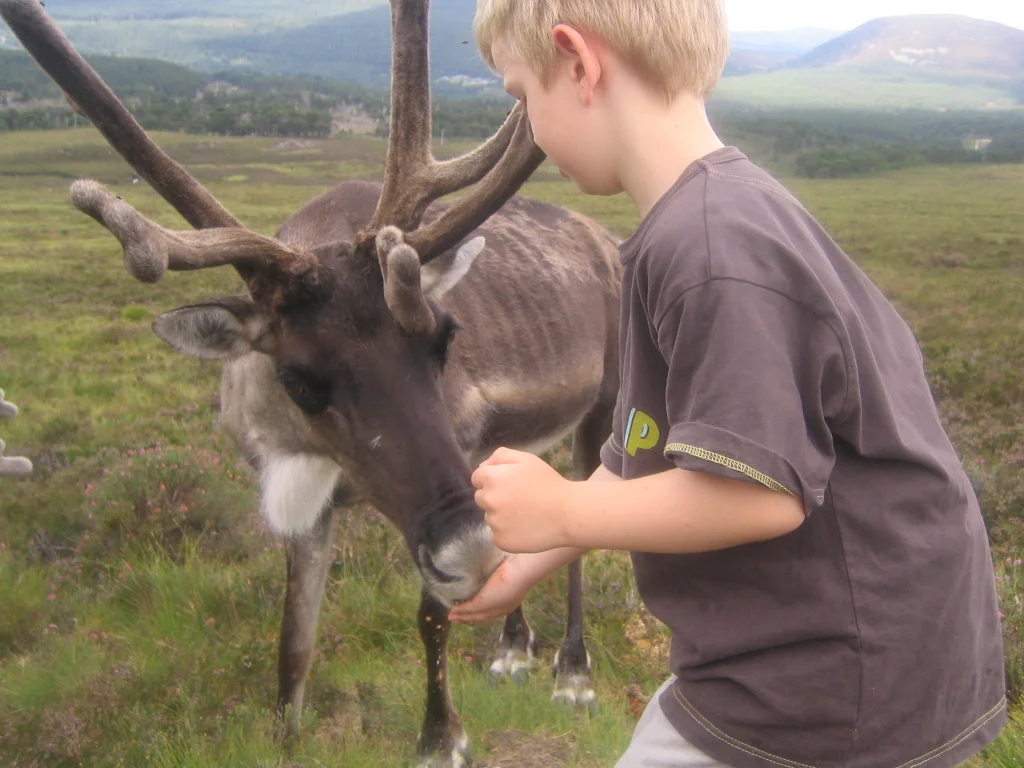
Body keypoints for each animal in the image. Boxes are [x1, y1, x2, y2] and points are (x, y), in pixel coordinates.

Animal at [0, 1, 623, 765]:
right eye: (296, 374)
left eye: (445, 336)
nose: (472, 552)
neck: (298, 444)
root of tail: (610, 242)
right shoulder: (309, 502)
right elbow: (293, 645)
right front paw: (284, 738)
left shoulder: (456, 458)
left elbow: (430, 613)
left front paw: (439, 737)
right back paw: (513, 649)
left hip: (602, 405)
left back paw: (573, 674)